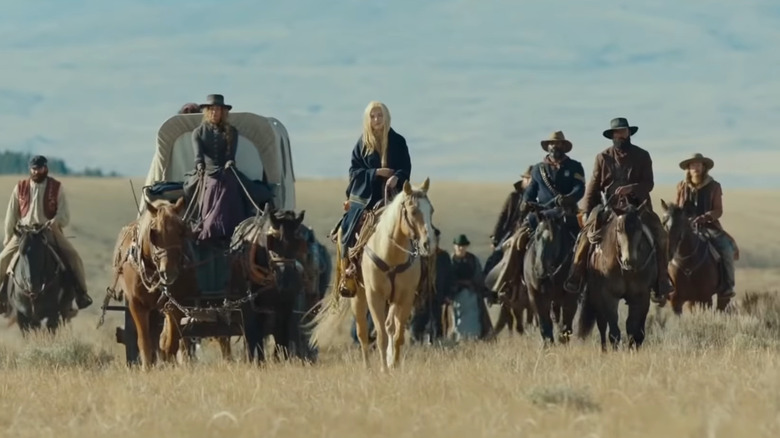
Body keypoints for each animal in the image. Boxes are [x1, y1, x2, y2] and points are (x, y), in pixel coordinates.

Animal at [310, 180, 432, 372]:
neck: (391, 254)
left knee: (389, 327)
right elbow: (380, 335)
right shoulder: (375, 296)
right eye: (413, 211)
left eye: (431, 210)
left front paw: (394, 366)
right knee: (362, 333)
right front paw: (384, 370)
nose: (427, 243)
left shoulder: (405, 298)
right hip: (358, 295)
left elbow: (397, 335)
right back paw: (367, 368)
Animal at [520, 204, 576, 344]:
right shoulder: (536, 296)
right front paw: (548, 344)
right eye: (537, 236)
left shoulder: (571, 297)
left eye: (553, 239)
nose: (539, 269)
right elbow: (544, 325)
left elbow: (566, 325)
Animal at [576, 200, 656, 350]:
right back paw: (604, 350)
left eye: (639, 230)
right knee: (602, 324)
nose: (629, 260)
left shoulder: (642, 296)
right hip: (596, 296)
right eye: (619, 230)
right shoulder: (609, 296)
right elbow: (613, 330)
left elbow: (635, 330)